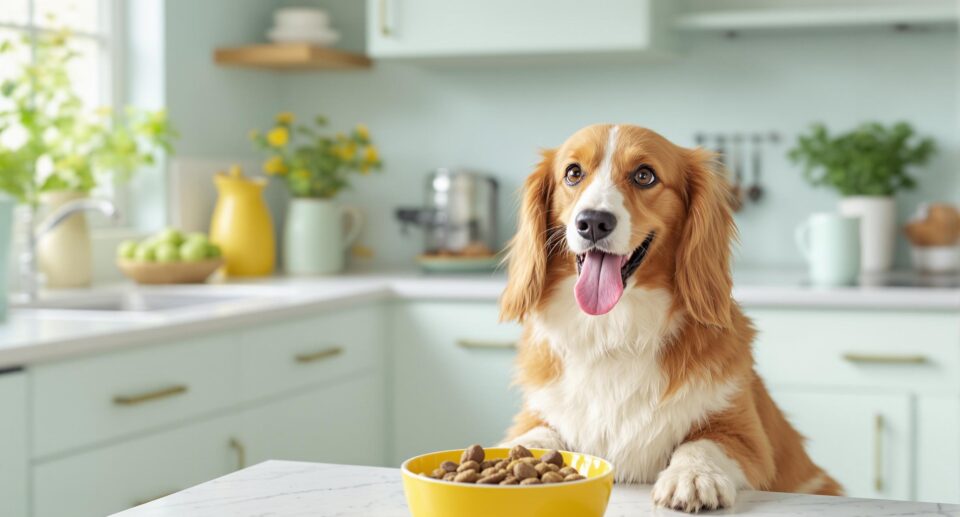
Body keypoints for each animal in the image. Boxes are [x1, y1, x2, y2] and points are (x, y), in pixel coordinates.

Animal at [502, 125, 840, 512]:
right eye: (573, 173)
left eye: (644, 175)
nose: (593, 222)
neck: (616, 330)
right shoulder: (537, 412)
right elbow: (536, 435)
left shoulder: (747, 436)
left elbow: (702, 443)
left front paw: (693, 477)